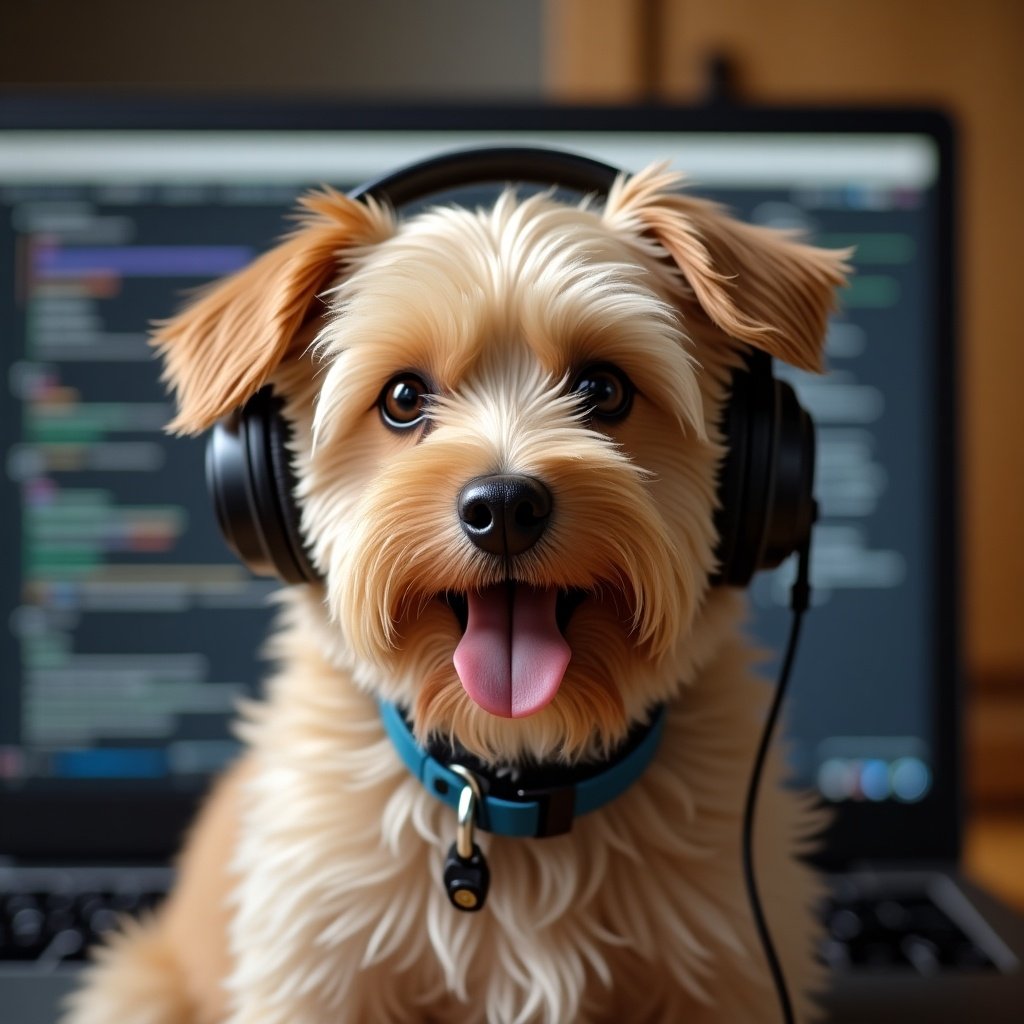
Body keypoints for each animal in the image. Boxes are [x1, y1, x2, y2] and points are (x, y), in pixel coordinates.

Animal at [61, 161, 847, 1024]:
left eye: (605, 390)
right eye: (404, 399)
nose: (503, 506)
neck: (514, 777)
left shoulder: (735, 965)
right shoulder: (313, 973)